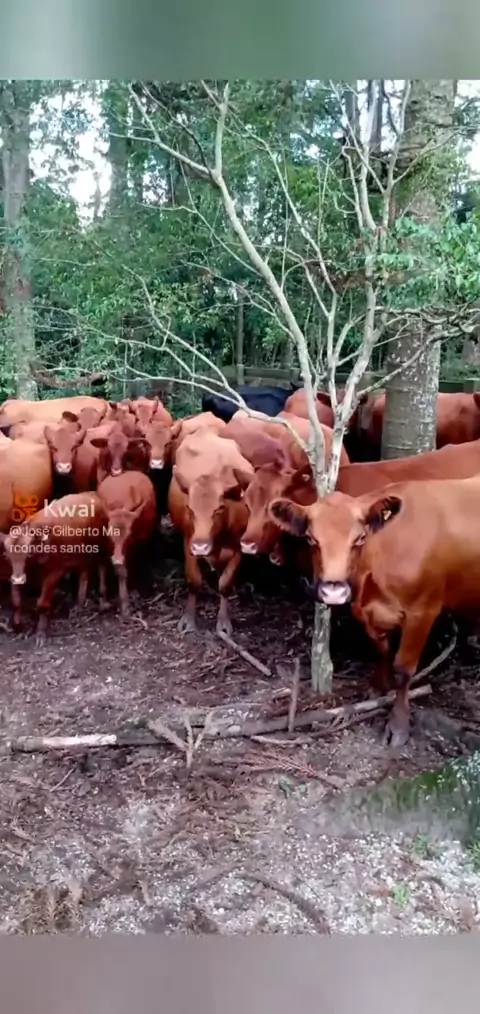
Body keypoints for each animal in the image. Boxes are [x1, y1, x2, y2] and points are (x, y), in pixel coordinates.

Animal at [1, 492, 110, 642]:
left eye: (28, 554)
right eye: (8, 557)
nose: (18, 579)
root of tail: (92, 494)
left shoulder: (55, 571)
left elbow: (42, 603)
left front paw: (41, 633)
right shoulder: (18, 573)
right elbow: (16, 599)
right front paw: (17, 625)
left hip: (102, 545)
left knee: (102, 565)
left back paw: (102, 601)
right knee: (84, 572)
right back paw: (79, 603)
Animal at [168, 430, 254, 635]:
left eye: (219, 509)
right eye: (189, 508)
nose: (201, 546)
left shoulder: (238, 547)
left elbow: (225, 584)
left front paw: (223, 622)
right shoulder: (188, 543)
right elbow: (193, 580)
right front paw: (189, 619)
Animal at [268, 476, 480, 749]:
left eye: (359, 538)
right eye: (311, 539)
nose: (333, 591)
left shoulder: (423, 611)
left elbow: (403, 669)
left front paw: (398, 724)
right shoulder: (366, 611)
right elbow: (383, 650)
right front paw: (379, 686)